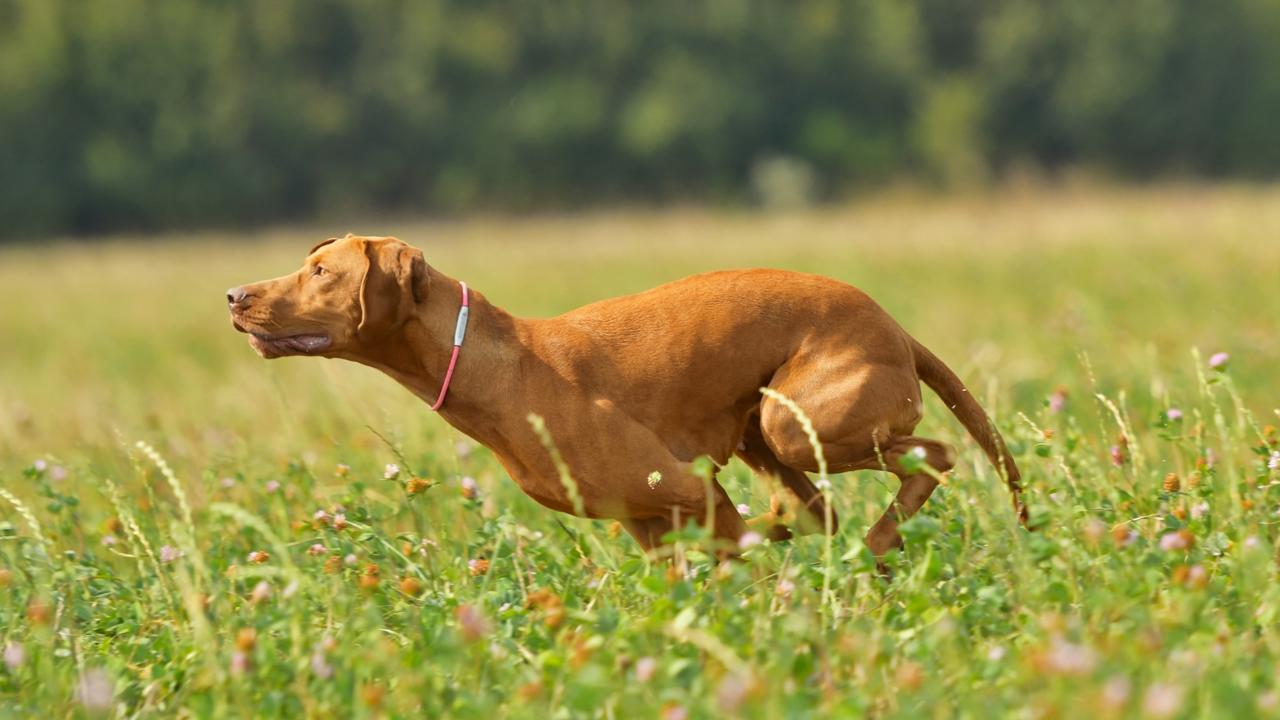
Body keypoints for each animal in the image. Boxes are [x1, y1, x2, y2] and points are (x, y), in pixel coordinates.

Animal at [227, 234, 1029, 556]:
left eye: (321, 272)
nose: (234, 296)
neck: (494, 365)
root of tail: (893, 324)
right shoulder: (647, 523)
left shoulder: (685, 492)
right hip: (761, 433)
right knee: (813, 512)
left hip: (794, 425)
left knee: (933, 454)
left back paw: (877, 543)